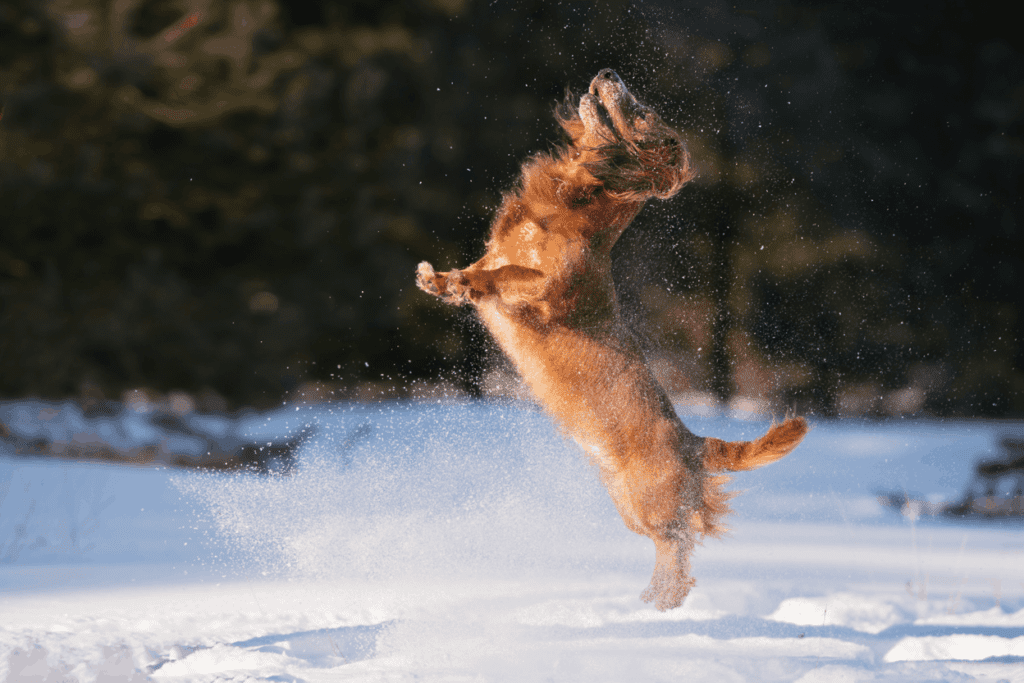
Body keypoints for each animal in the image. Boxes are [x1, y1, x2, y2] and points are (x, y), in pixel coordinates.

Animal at [415, 69, 806, 610]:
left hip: (652, 505)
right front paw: (437, 279)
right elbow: (478, 269)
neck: (572, 205)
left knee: (679, 551)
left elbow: (503, 276)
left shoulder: (547, 291)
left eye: (642, 112)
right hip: (629, 506)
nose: (608, 73)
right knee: (674, 548)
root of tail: (695, 443)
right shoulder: (494, 257)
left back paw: (658, 605)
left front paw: (459, 283)